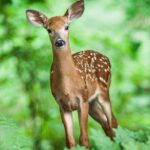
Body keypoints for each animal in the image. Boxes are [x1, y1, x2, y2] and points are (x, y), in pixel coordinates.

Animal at [26, 0, 117, 149]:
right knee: (106, 124)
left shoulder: (82, 99)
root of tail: (106, 57)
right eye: (49, 29)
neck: (68, 87)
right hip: (92, 103)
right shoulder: (61, 104)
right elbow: (70, 141)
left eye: (67, 26)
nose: (59, 42)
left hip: (103, 91)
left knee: (113, 122)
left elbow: (84, 139)